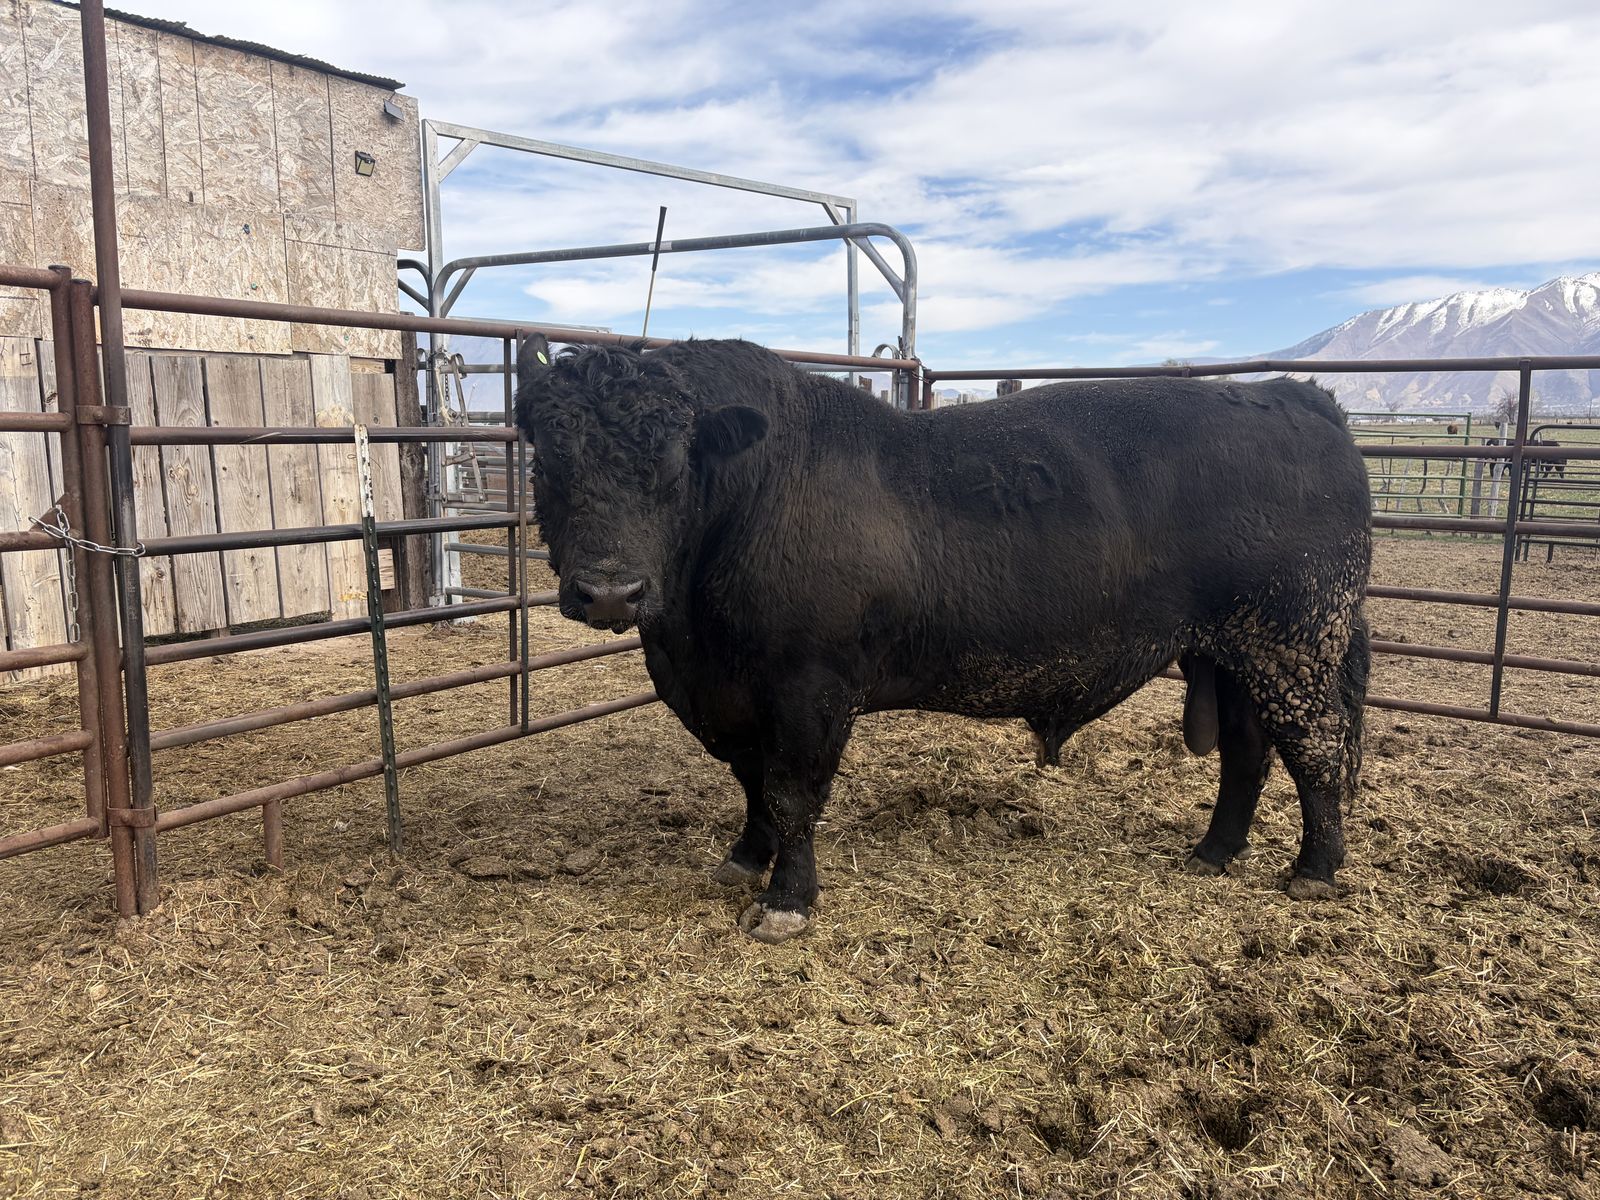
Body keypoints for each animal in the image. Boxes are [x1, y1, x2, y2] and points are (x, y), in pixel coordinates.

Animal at [513, 336, 1372, 943]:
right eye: (547, 459)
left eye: (671, 464)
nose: (610, 591)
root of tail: (1292, 394)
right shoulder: (731, 696)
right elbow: (753, 784)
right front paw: (744, 860)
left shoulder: (811, 687)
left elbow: (792, 792)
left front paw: (787, 900)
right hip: (1229, 651)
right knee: (1247, 751)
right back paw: (1213, 853)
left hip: (1293, 641)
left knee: (1317, 747)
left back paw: (1314, 868)